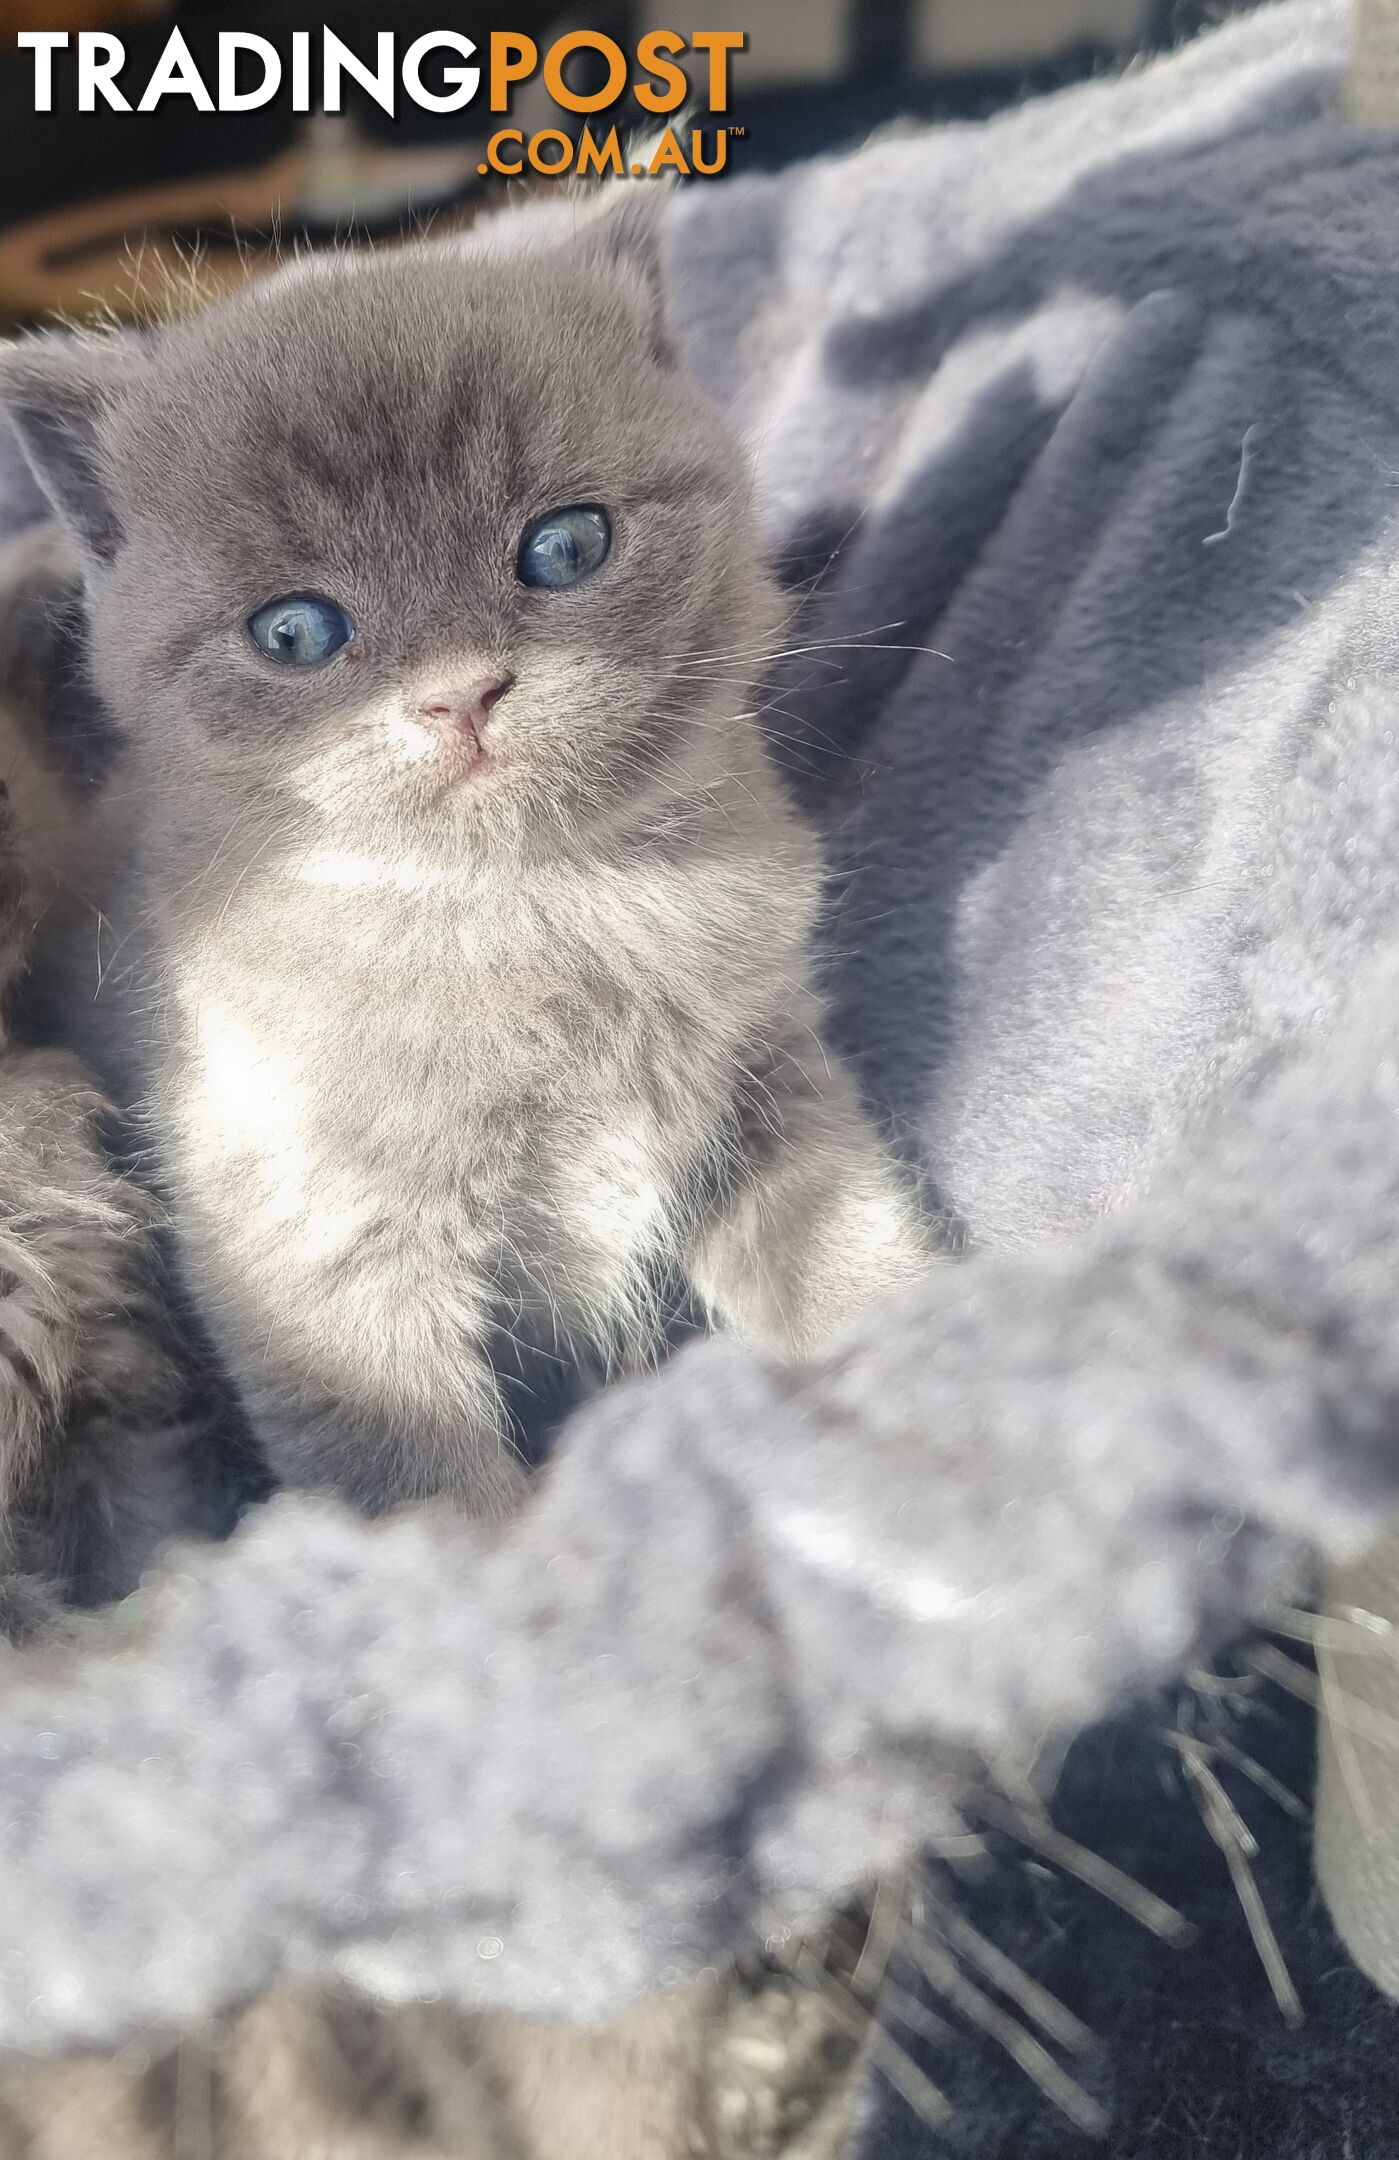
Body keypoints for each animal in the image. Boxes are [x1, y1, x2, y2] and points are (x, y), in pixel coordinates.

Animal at [2, 203, 941, 1520]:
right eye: (295, 631)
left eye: (565, 546)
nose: (462, 692)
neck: (530, 912)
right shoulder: (312, 1232)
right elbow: (412, 1475)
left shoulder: (768, 1072)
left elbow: (841, 1241)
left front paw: (930, 1351)